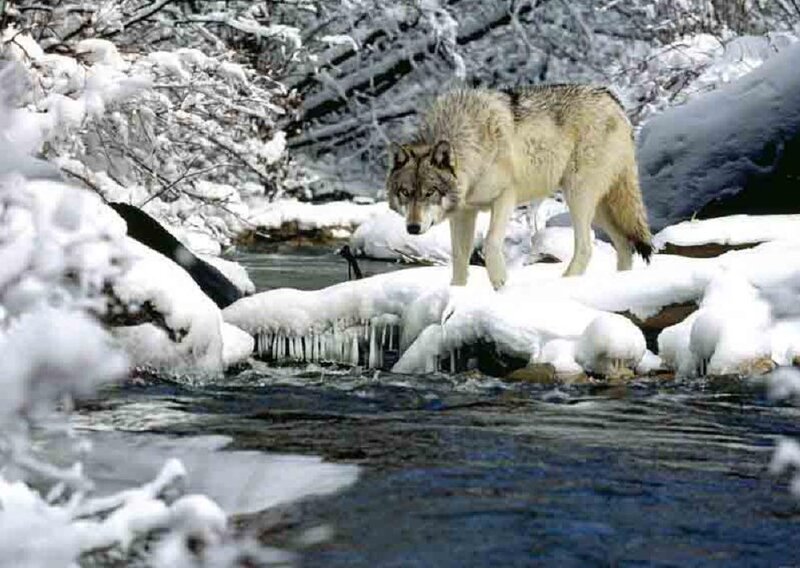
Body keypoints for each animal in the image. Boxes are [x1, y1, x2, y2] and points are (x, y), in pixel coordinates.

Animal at [385, 84, 653, 290]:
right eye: (405, 193)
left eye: (429, 192)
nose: (412, 228)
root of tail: (613, 99)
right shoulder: (463, 213)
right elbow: (460, 258)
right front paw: (456, 292)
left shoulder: (505, 198)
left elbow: (491, 242)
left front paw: (500, 283)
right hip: (599, 208)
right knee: (624, 245)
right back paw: (620, 281)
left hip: (578, 196)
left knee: (586, 247)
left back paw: (564, 283)